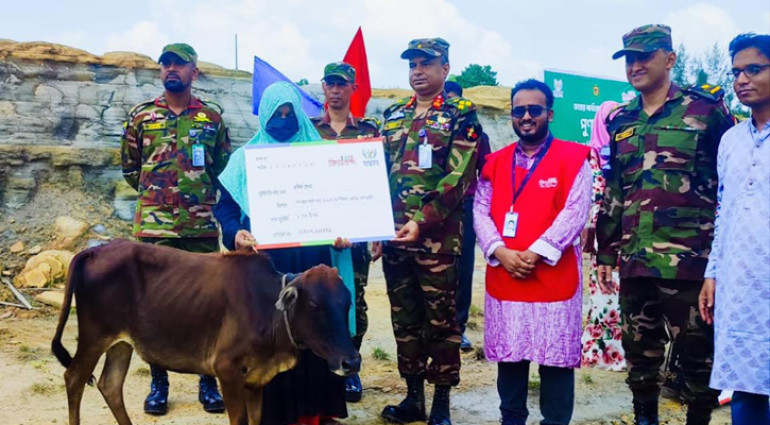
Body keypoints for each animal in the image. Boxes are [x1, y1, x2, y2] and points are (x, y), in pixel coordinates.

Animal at [52, 238, 358, 424]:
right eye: (315, 305)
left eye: (347, 302)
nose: (351, 362)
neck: (268, 310)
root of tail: (93, 250)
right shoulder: (227, 370)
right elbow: (240, 420)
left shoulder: (256, 380)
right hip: (94, 336)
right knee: (74, 378)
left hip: (121, 343)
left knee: (110, 384)